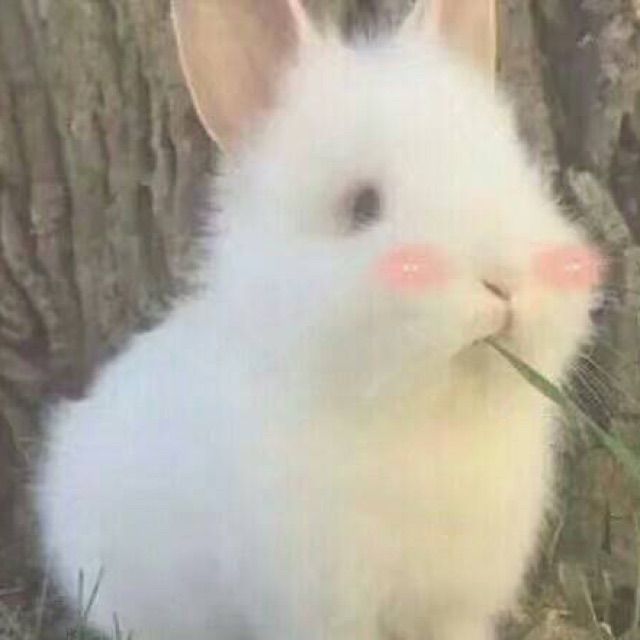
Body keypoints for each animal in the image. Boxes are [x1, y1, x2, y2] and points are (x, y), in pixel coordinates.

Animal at [36, 1, 602, 639]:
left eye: (518, 173)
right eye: (362, 206)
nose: (503, 281)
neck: (421, 418)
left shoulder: (455, 607)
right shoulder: (319, 604)